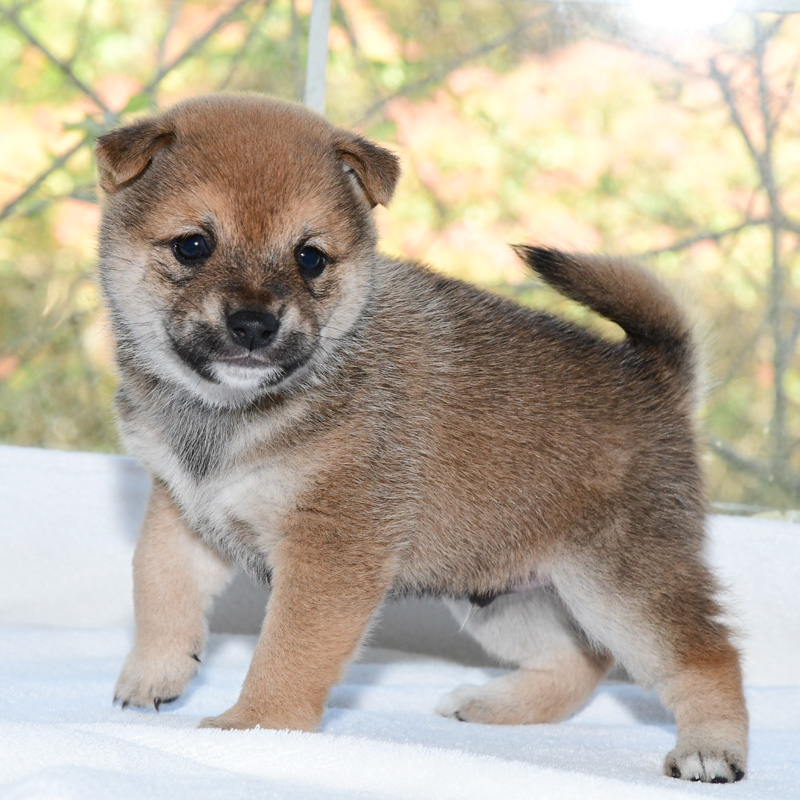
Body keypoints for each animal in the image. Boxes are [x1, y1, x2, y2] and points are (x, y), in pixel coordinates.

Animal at [97, 92, 748, 780]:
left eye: (310, 258)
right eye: (193, 246)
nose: (254, 324)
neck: (230, 412)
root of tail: (655, 378)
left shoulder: (329, 551)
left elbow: (288, 650)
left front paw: (255, 726)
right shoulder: (183, 510)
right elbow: (158, 583)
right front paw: (156, 672)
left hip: (621, 587)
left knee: (706, 656)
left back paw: (711, 748)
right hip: (503, 593)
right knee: (580, 661)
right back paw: (494, 705)